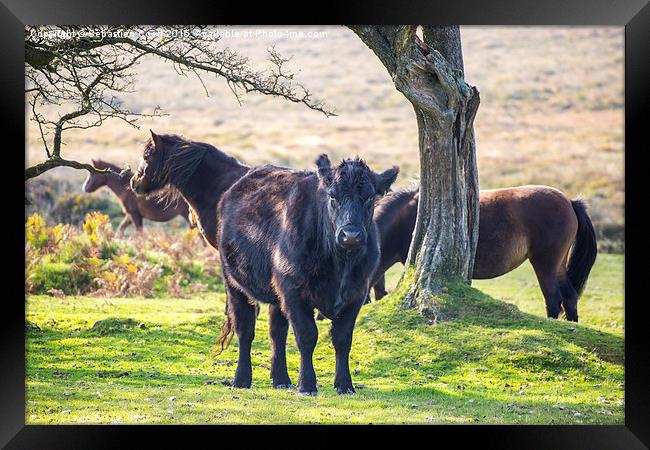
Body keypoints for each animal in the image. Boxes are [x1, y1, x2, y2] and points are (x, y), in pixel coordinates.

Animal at [372, 185, 596, 322]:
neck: (406, 218)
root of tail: (570, 202)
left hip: (545, 264)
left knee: (553, 299)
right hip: (558, 266)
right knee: (570, 297)